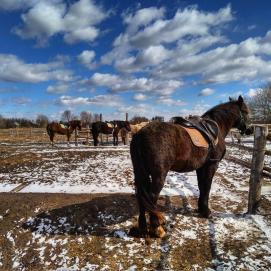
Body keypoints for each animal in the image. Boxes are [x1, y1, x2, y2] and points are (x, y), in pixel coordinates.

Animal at [131, 96, 252, 239]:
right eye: (245, 111)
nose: (250, 130)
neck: (215, 130)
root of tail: (139, 135)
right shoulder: (212, 165)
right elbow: (207, 187)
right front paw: (206, 211)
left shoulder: (201, 167)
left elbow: (201, 186)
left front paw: (201, 208)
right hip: (158, 175)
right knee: (152, 197)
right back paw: (157, 229)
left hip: (140, 173)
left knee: (141, 197)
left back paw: (143, 228)